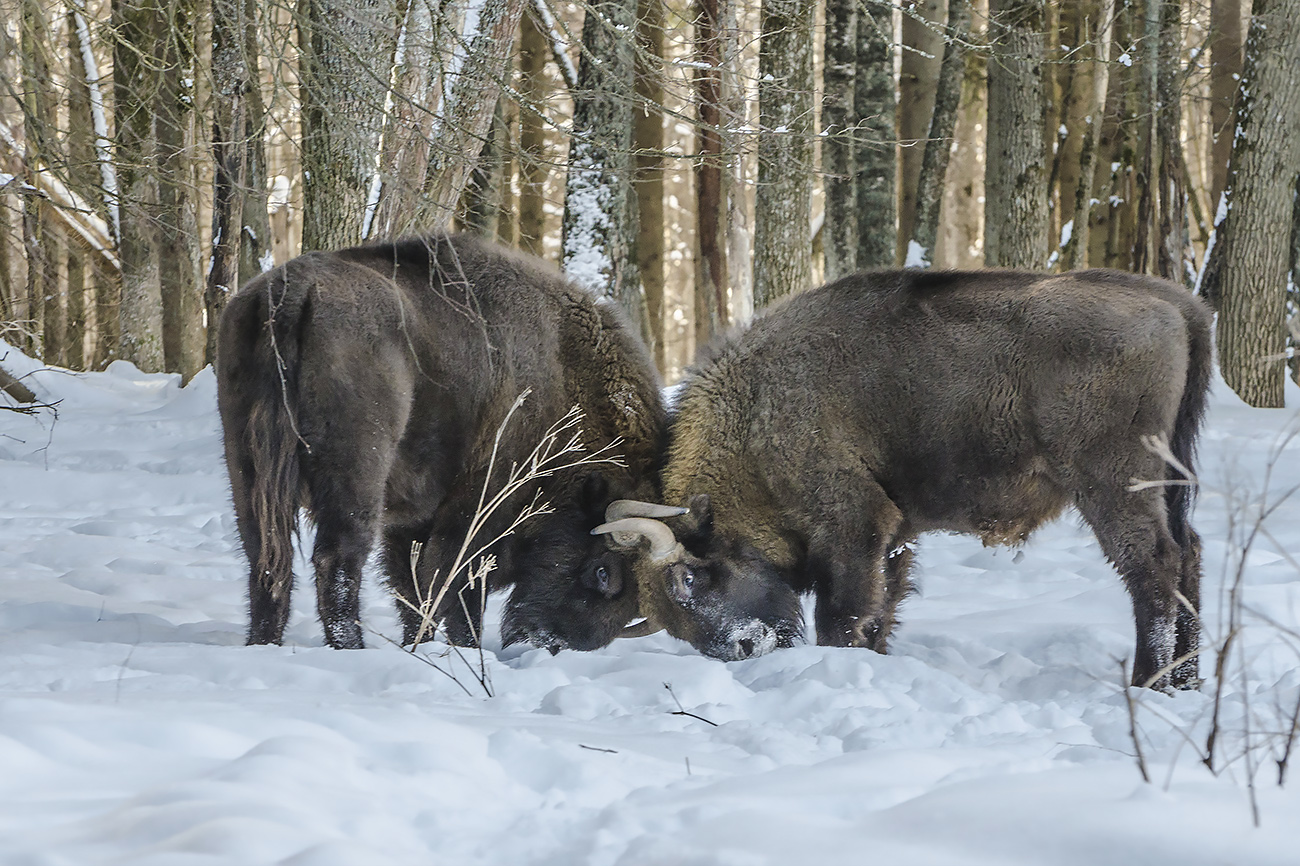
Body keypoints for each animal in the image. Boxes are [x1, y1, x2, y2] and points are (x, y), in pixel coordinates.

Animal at [215, 232, 670, 650]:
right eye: (603, 572)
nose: (552, 642)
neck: (561, 371)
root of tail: (294, 290)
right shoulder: (477, 508)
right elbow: (454, 586)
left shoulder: (412, 521)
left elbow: (413, 586)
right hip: (356, 472)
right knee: (338, 558)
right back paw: (352, 648)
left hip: (246, 467)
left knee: (266, 560)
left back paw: (263, 643)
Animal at [595, 267, 1211, 686]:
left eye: (689, 580)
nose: (745, 648)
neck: (755, 415)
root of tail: (1178, 305)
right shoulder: (896, 536)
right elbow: (881, 613)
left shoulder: (853, 526)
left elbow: (844, 616)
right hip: (1170, 478)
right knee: (1190, 552)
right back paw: (1186, 681)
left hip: (1112, 485)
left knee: (1152, 565)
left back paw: (1148, 683)